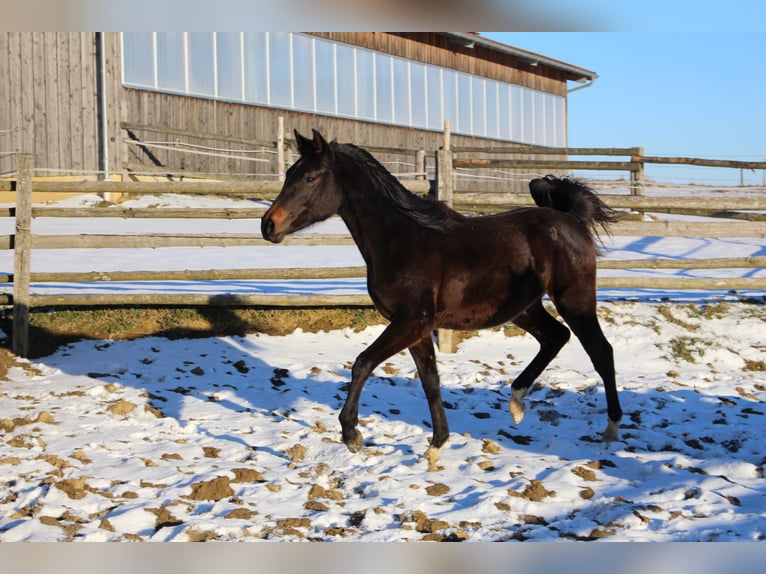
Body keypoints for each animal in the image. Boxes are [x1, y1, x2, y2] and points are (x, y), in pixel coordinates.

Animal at [262, 129, 623, 460]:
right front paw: (437, 444)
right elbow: (430, 381)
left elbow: (362, 363)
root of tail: (571, 219)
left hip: (574, 299)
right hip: (524, 308)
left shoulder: (411, 322)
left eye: (310, 177)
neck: (403, 240)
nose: (268, 225)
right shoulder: (418, 329)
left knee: (601, 351)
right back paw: (517, 403)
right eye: (290, 174)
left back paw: (611, 428)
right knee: (555, 337)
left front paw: (352, 435)